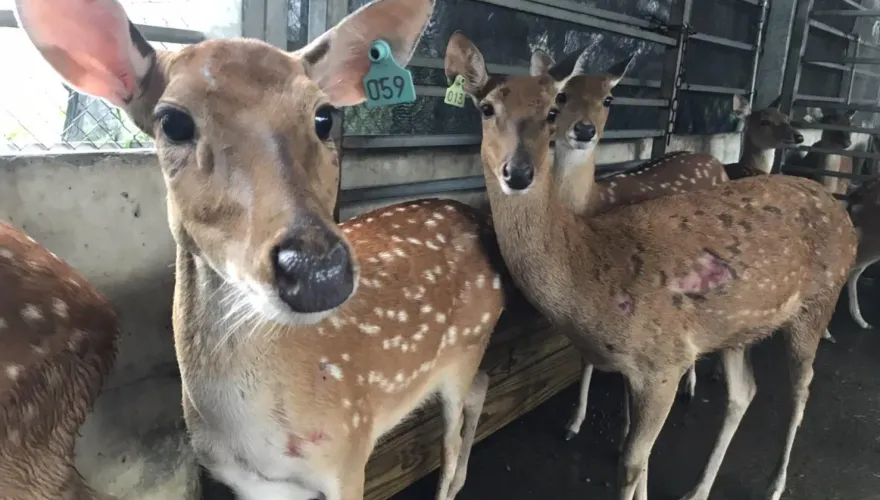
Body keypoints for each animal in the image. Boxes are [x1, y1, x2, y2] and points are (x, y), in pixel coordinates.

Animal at [15, 0, 509, 499]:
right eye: (172, 122)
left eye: (324, 116)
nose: (317, 272)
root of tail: (480, 222)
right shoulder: (247, 482)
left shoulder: (351, 451)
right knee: (481, 386)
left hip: (467, 344)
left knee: (454, 431)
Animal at [532, 49, 732, 439]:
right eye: (561, 96)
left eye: (609, 98)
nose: (584, 130)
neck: (594, 202)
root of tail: (718, 163)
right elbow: (585, 358)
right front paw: (574, 422)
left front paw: (625, 426)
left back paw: (691, 386)